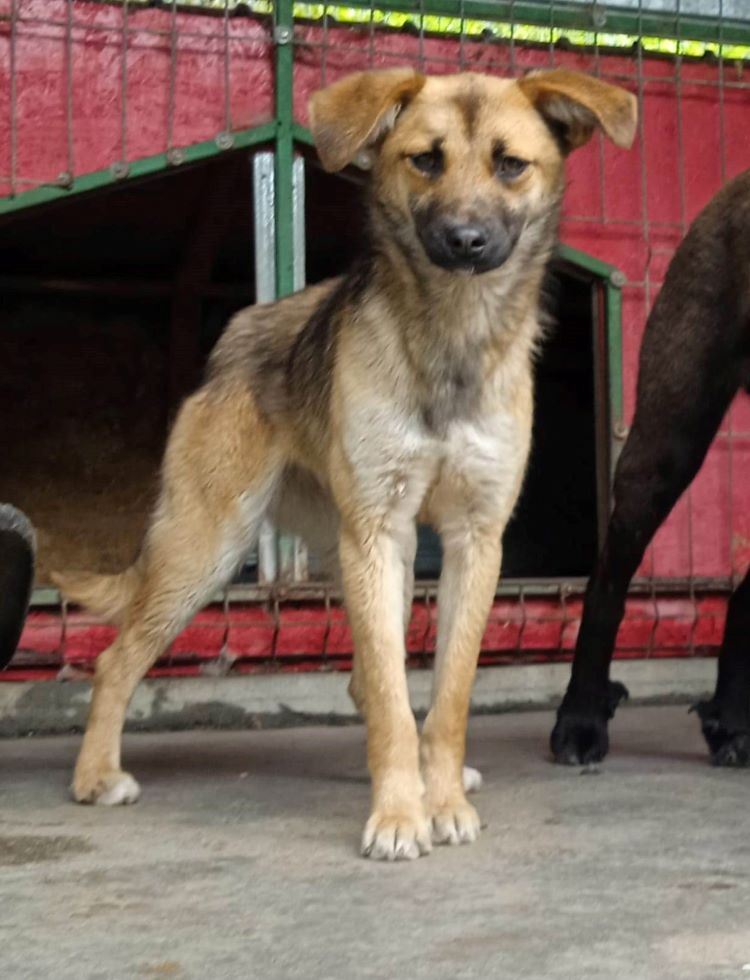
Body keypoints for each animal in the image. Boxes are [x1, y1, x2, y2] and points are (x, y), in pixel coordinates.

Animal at [55, 67, 636, 856]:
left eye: (511, 165)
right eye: (425, 160)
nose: (465, 240)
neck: (451, 333)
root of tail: (236, 335)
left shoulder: (476, 539)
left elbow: (449, 692)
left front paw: (439, 797)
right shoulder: (381, 531)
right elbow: (393, 697)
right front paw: (398, 814)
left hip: (353, 552)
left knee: (367, 675)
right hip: (211, 545)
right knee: (118, 659)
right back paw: (95, 776)